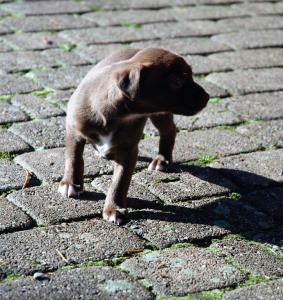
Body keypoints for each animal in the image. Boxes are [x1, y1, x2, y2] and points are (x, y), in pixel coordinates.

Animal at [58, 47, 210, 225]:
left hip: (160, 114)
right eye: (177, 82)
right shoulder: (73, 130)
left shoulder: (128, 150)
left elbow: (120, 181)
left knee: (169, 130)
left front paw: (114, 208)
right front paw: (70, 184)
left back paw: (162, 159)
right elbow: (74, 158)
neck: (117, 115)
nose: (207, 97)